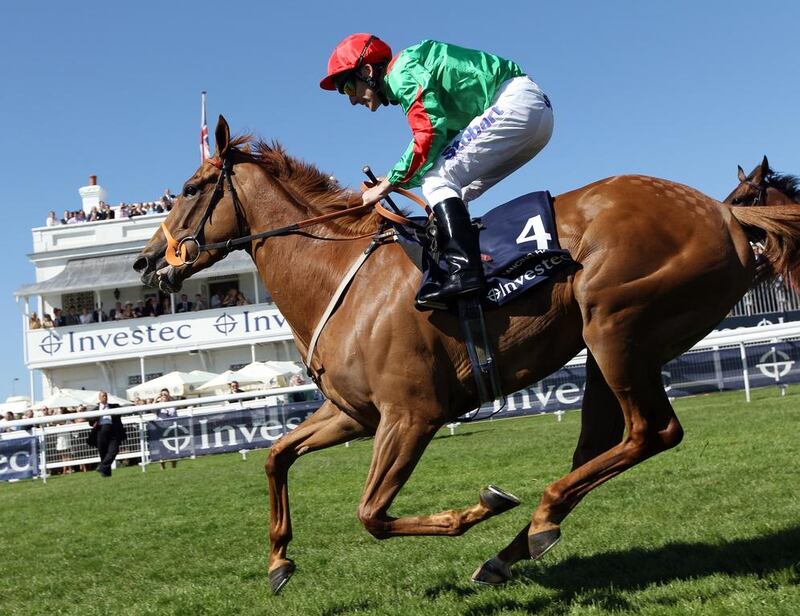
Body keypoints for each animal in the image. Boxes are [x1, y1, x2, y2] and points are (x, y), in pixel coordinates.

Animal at [134, 115, 800, 592]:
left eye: (189, 190)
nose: (145, 263)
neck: (339, 275)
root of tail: (725, 213)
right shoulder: (355, 414)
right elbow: (276, 456)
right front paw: (277, 560)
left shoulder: (411, 416)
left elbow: (371, 513)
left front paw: (480, 507)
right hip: (610, 351)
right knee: (602, 443)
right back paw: (517, 545)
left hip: (616, 329)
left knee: (652, 432)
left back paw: (538, 517)